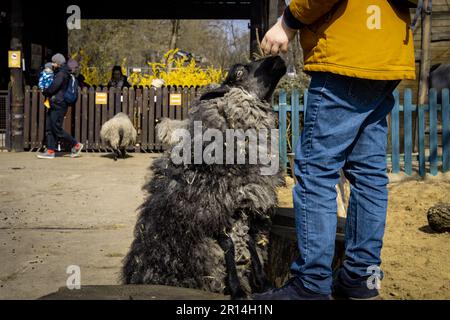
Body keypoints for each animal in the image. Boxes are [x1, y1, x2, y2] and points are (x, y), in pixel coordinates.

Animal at [121, 56, 286, 298]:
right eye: (239, 72)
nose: (278, 58)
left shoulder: (245, 206)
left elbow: (249, 243)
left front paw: (263, 283)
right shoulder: (210, 211)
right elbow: (229, 246)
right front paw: (237, 288)